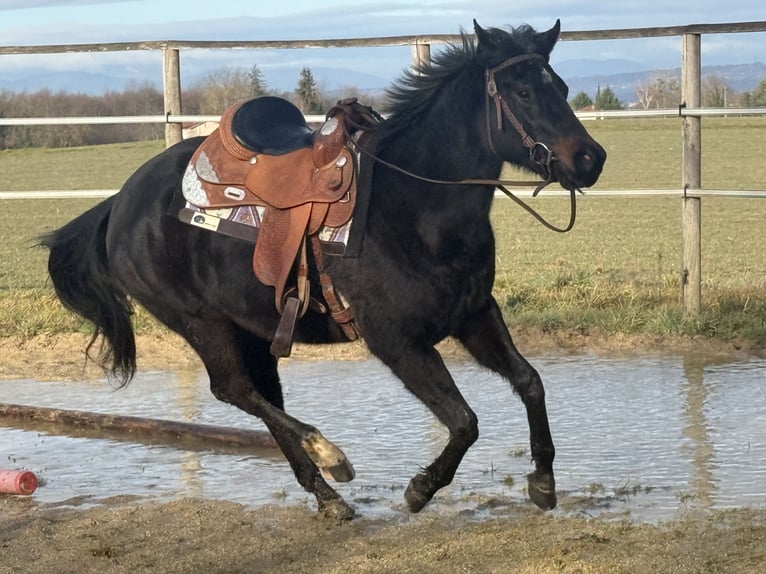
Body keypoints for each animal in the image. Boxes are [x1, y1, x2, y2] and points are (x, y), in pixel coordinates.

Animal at [42, 20, 605, 520]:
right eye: (523, 92)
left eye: (560, 86)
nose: (590, 159)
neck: (414, 206)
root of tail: (119, 203)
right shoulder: (397, 341)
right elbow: (465, 422)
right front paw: (420, 489)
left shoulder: (474, 315)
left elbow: (530, 382)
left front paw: (543, 481)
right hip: (201, 322)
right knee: (235, 390)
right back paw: (329, 454)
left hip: (254, 329)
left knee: (259, 395)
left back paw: (327, 495)